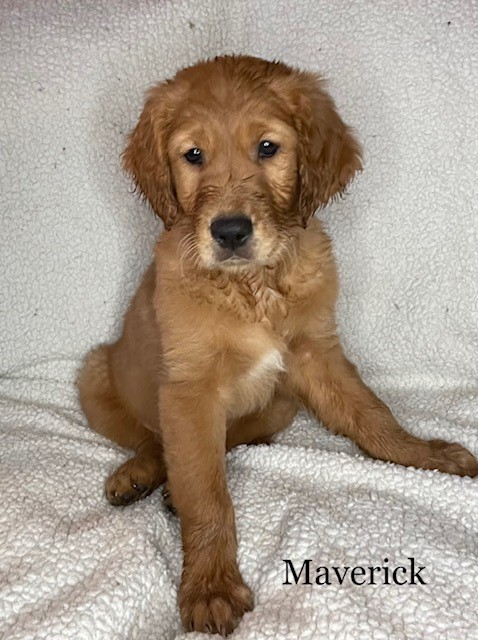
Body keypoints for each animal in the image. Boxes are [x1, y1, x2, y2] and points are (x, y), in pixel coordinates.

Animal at [76, 56, 476, 636]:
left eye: (268, 147)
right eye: (192, 155)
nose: (230, 232)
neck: (253, 286)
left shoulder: (316, 351)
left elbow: (371, 414)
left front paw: (425, 455)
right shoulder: (189, 390)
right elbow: (207, 494)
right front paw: (212, 586)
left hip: (282, 404)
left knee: (228, 441)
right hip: (96, 372)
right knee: (155, 442)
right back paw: (140, 475)